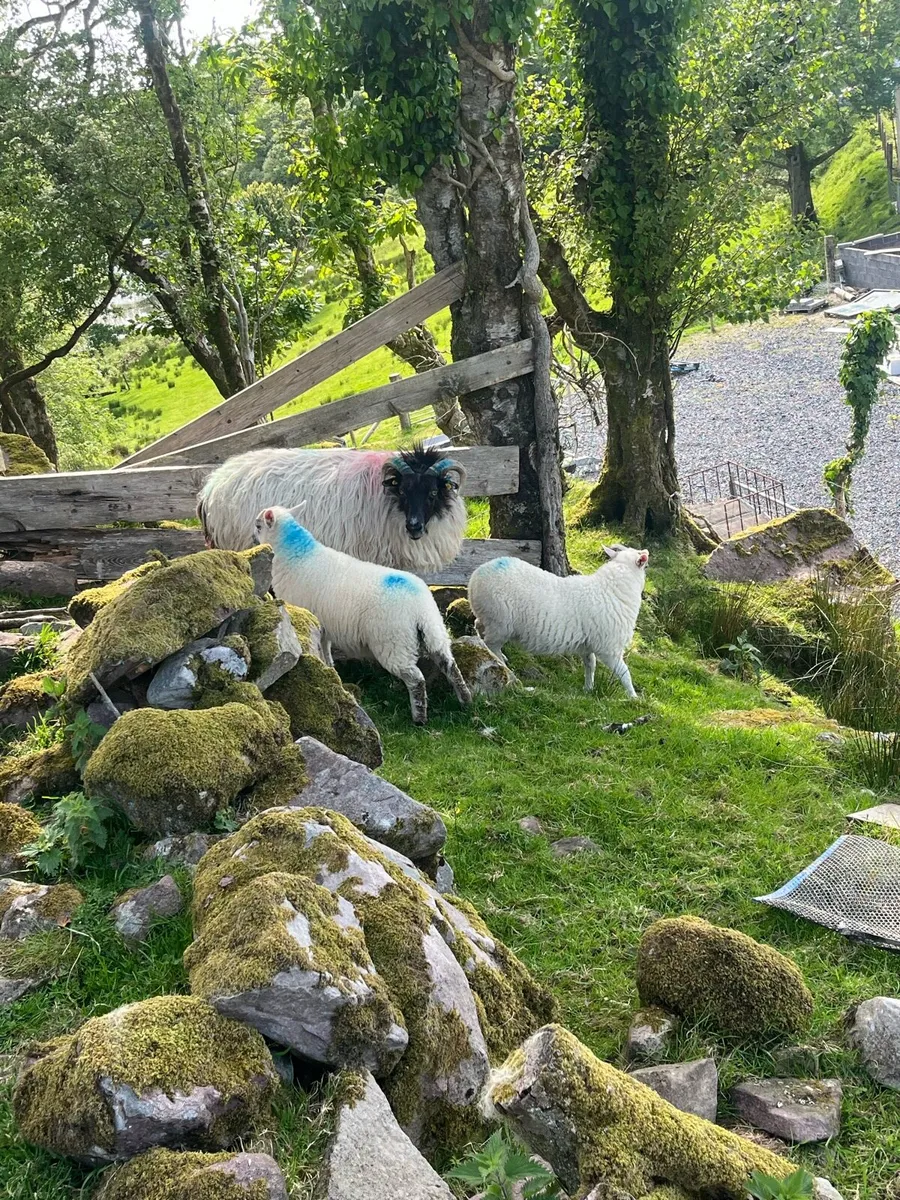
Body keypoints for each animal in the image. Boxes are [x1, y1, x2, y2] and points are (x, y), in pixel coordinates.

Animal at [255, 505, 472, 725]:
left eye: (258, 525)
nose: (254, 538)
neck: (295, 552)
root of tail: (421, 610)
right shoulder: (323, 623)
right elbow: (324, 649)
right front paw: (329, 670)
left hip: (394, 642)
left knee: (416, 679)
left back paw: (419, 718)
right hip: (435, 634)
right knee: (451, 666)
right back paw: (466, 701)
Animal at [468, 544, 649, 698]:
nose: (646, 551)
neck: (612, 589)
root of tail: (475, 577)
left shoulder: (587, 644)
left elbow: (590, 665)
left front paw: (588, 688)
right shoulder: (609, 648)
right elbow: (624, 672)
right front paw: (633, 697)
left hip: (489, 618)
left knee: (479, 626)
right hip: (500, 623)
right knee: (492, 645)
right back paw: (502, 665)